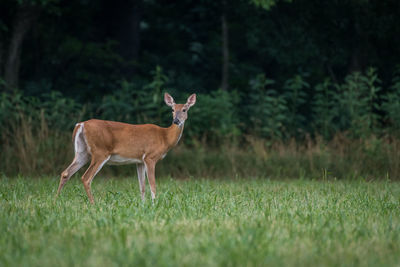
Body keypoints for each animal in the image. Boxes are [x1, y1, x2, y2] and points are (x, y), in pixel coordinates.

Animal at [55, 93, 196, 204]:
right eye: (172, 110)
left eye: (184, 110)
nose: (176, 121)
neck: (164, 137)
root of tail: (81, 124)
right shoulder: (150, 157)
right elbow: (153, 184)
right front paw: (154, 204)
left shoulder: (140, 161)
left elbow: (142, 186)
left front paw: (143, 205)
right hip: (100, 152)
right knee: (86, 178)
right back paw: (93, 204)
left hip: (82, 152)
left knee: (65, 173)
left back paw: (56, 201)